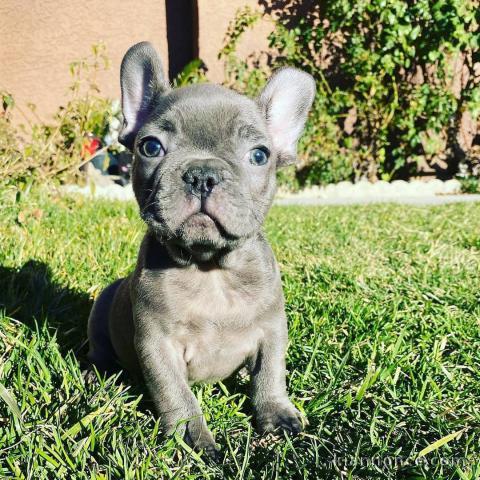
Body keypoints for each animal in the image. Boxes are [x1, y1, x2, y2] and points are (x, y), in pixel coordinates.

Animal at [87, 42, 316, 458]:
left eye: (259, 155)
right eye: (150, 147)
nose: (202, 174)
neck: (210, 269)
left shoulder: (273, 330)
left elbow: (271, 374)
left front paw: (277, 415)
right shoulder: (157, 346)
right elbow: (175, 395)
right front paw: (190, 440)